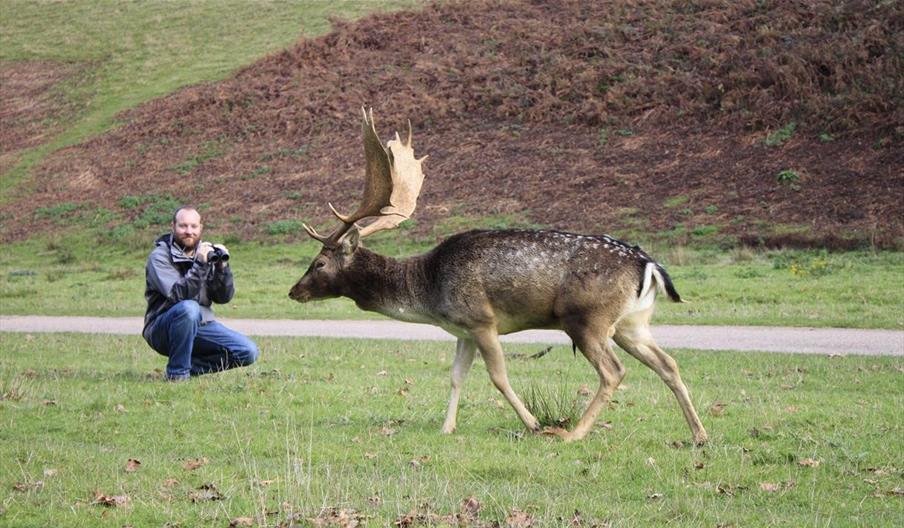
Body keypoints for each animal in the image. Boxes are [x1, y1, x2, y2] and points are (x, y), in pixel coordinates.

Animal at [290, 110, 708, 446]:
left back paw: (572, 434)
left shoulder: (482, 319)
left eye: (319, 263)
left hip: (587, 319)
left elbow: (499, 377)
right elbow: (456, 376)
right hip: (632, 324)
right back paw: (699, 434)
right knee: (669, 364)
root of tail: (648, 264)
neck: (428, 292)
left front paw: (533, 424)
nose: (294, 291)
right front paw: (447, 428)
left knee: (613, 371)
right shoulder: (462, 330)